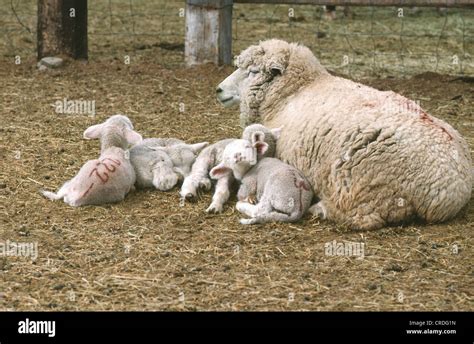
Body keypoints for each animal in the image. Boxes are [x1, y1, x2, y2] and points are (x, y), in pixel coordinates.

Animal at [217, 39, 472, 230]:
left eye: (252, 72)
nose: (218, 89)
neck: (296, 90)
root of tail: (450, 192)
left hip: (365, 186)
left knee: (361, 218)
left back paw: (319, 209)